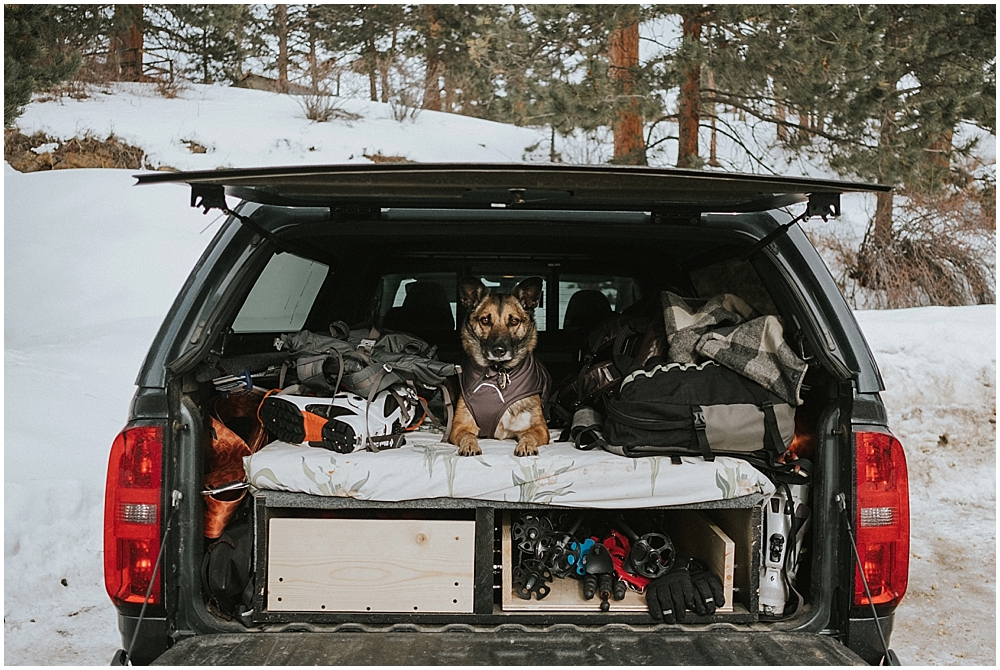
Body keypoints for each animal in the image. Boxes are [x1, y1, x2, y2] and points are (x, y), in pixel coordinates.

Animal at [450, 276, 552, 456]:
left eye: (514, 321)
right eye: (485, 320)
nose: (498, 350)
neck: (499, 371)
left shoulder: (539, 428)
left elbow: (529, 435)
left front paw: (526, 445)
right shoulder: (459, 427)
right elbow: (468, 435)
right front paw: (469, 445)